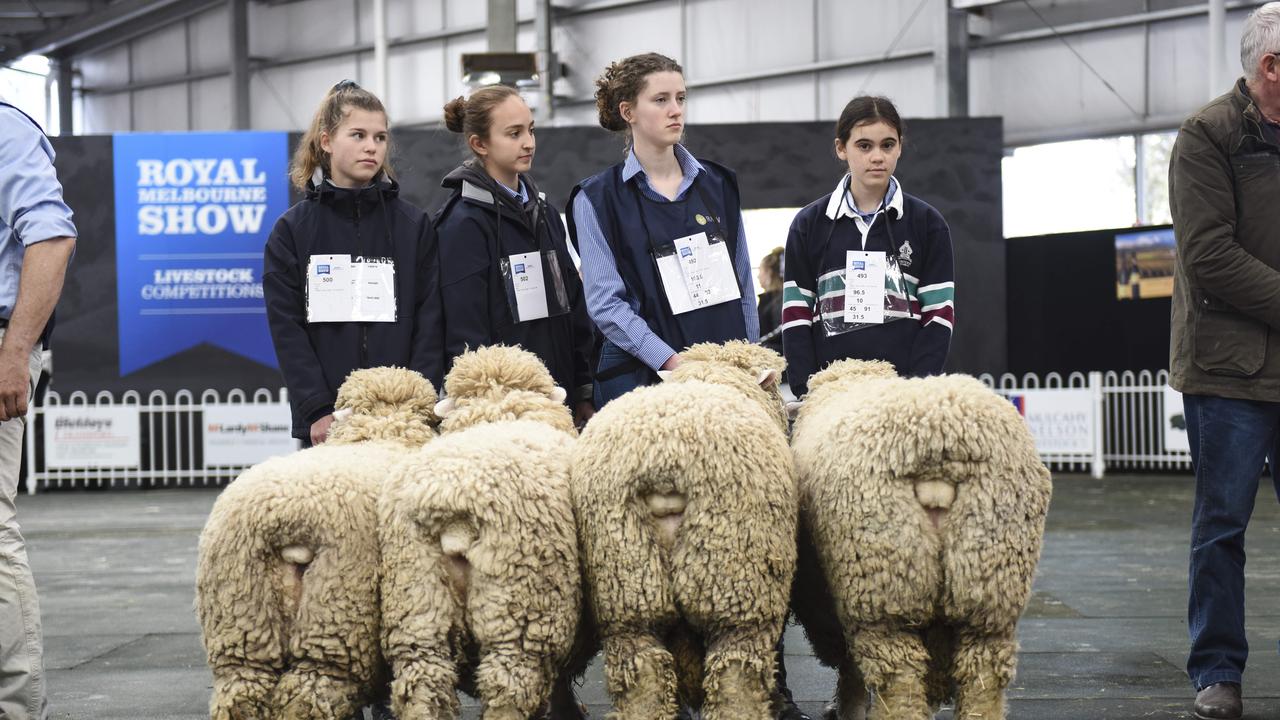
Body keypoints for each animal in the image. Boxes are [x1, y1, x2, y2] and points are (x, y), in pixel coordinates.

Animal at [195, 366, 440, 712]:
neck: (383, 429)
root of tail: (280, 518)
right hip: (335, 612)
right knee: (310, 692)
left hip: (239, 615)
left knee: (241, 691)